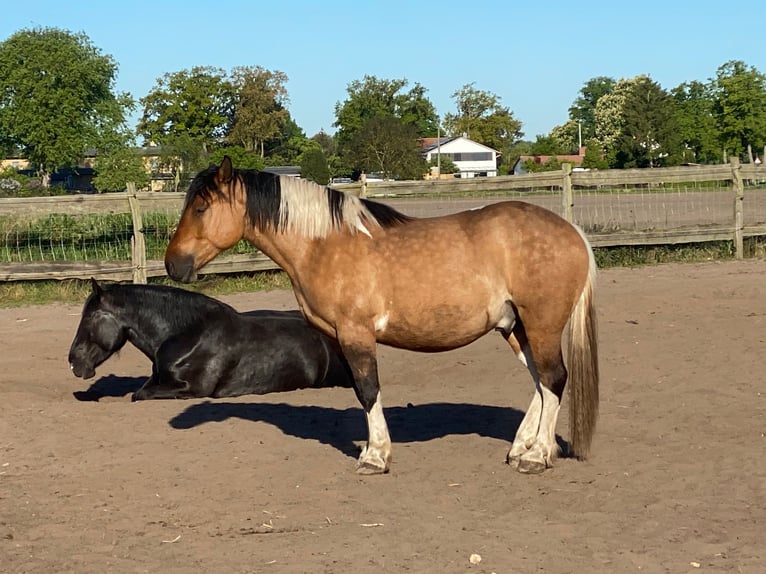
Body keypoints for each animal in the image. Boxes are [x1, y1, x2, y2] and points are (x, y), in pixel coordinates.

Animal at [164, 157, 599, 475]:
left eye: (201, 208)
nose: (173, 265)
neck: (324, 244)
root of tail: (572, 232)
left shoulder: (355, 334)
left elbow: (368, 390)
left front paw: (375, 456)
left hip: (541, 324)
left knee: (554, 379)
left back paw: (537, 456)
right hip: (514, 326)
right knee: (540, 382)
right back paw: (522, 447)